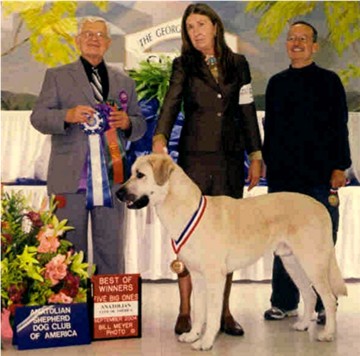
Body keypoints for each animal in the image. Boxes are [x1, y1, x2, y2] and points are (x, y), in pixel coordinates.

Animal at [116, 154, 348, 350]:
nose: (118, 193)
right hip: (292, 262)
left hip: (313, 262)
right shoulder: (197, 276)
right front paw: (192, 336)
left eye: (140, 174)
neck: (186, 209)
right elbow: (199, 312)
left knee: (329, 299)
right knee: (310, 294)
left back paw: (328, 334)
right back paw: (303, 325)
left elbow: (212, 313)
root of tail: (320, 206)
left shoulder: (214, 277)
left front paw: (206, 342)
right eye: (131, 172)